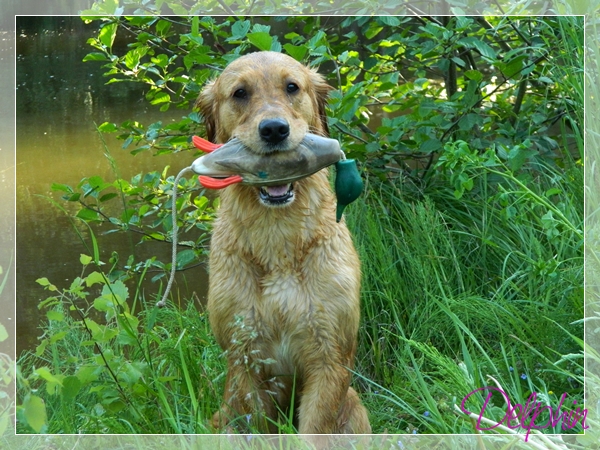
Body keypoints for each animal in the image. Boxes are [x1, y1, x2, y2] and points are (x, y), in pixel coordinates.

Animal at [196, 51, 370, 436]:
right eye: (240, 93)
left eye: (292, 87)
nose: (274, 129)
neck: (278, 242)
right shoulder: (244, 359)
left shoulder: (330, 356)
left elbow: (314, 432)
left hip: (355, 411)